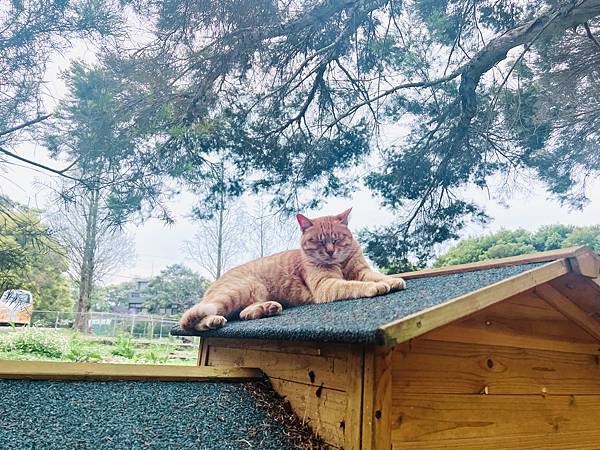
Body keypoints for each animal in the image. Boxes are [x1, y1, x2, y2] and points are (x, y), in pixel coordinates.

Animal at [178, 208, 404, 330]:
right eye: (319, 241)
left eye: (337, 239)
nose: (330, 252)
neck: (340, 263)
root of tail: (213, 284)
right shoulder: (326, 285)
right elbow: (353, 285)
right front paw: (374, 287)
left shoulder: (362, 270)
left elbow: (376, 275)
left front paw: (392, 280)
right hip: (239, 290)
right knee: (189, 320)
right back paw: (213, 320)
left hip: (256, 292)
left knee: (243, 313)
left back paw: (267, 308)